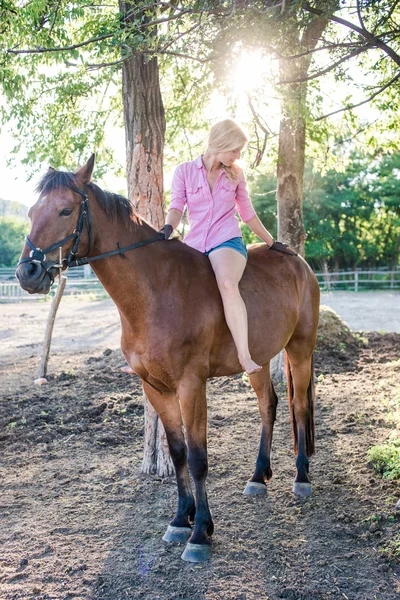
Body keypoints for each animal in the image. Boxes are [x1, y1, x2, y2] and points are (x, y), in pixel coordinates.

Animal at [17, 155, 320, 564]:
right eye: (32, 211)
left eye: (65, 210)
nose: (27, 272)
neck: (155, 292)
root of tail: (298, 262)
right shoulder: (155, 387)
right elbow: (177, 454)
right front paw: (180, 520)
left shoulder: (191, 386)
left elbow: (197, 458)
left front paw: (200, 533)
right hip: (257, 361)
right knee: (268, 405)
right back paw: (258, 477)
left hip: (300, 349)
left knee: (300, 406)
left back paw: (301, 479)